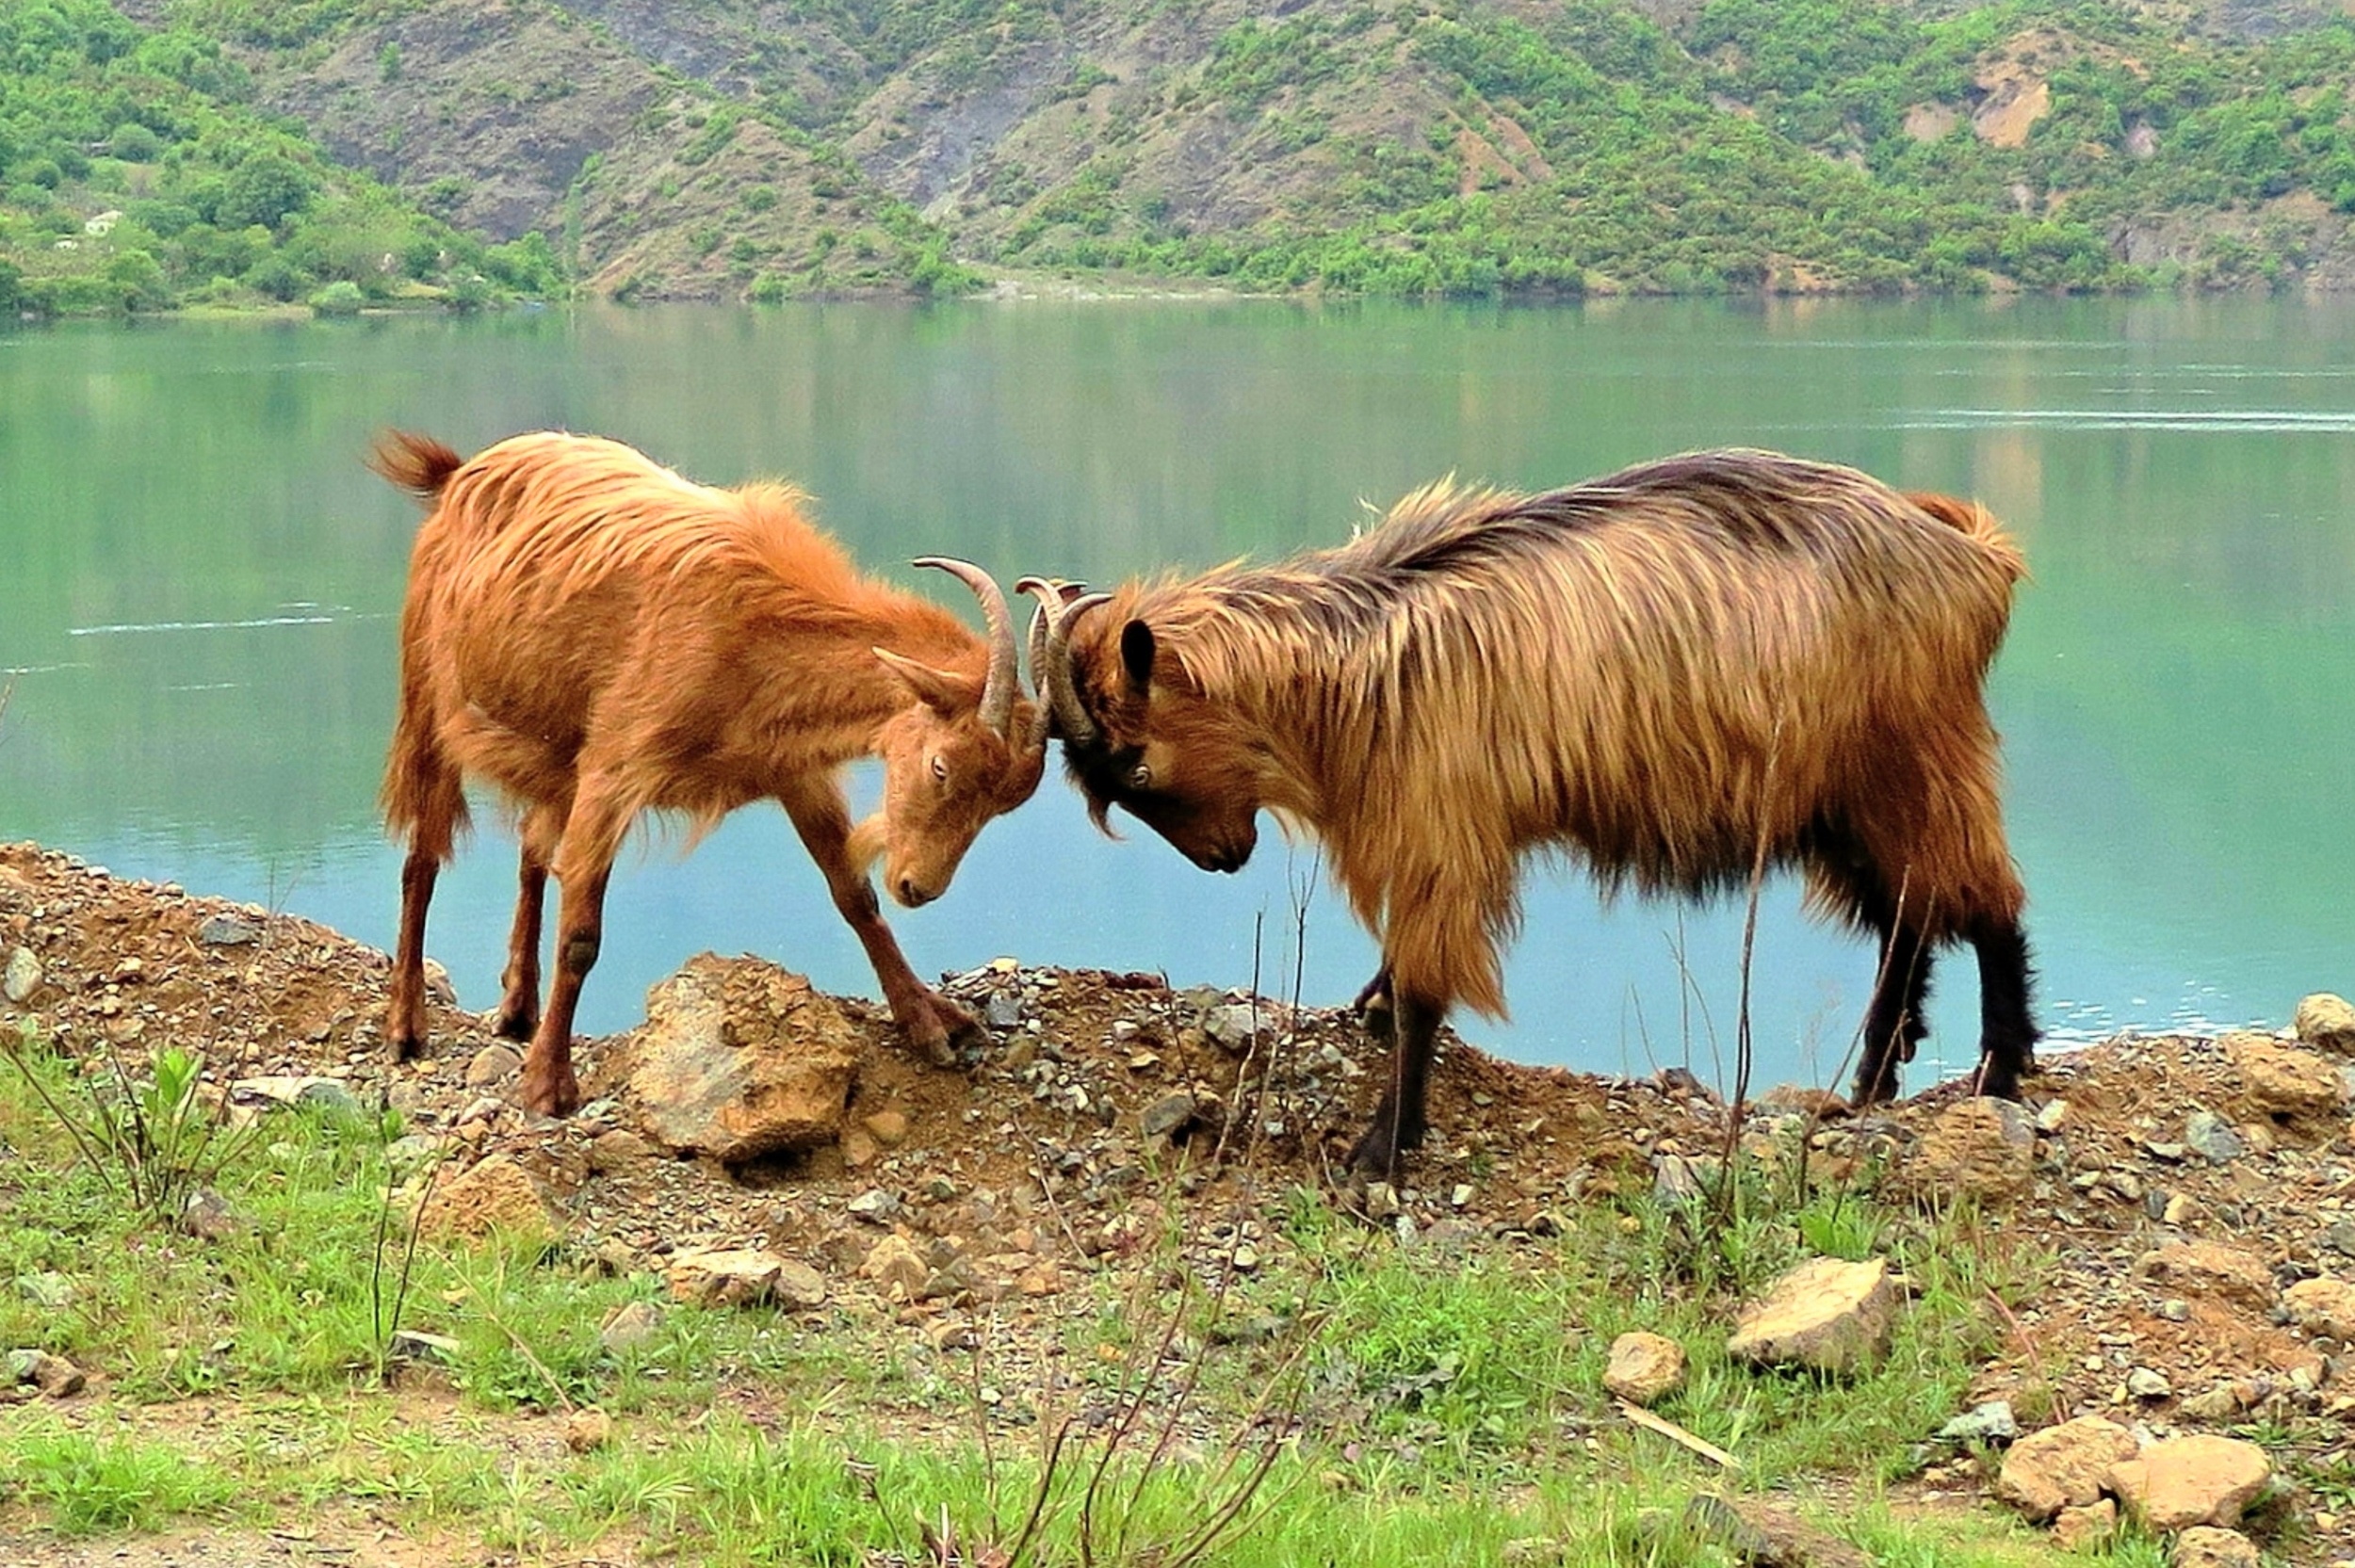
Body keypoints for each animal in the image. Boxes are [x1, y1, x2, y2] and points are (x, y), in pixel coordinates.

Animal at [372, 429, 1046, 1116]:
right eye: (941, 766)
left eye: (1004, 802)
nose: (919, 886)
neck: (757, 631)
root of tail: (457, 475)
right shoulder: (614, 769)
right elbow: (581, 935)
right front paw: (548, 1085)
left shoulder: (792, 769)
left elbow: (854, 895)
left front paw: (928, 1021)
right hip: (430, 696)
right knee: (422, 858)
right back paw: (406, 1025)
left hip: (552, 746)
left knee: (532, 850)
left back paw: (516, 1008)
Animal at [1025, 448, 2038, 1178]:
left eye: (1137, 764)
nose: (1221, 858)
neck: (1356, 665)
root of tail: (1973, 559)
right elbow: (1403, 968)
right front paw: (1372, 1013)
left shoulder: (1441, 825)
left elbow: (1428, 985)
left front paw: (1381, 1147)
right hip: (1841, 797)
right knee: (1908, 917)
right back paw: (1872, 1079)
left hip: (1911, 755)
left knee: (1983, 902)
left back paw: (2000, 1066)